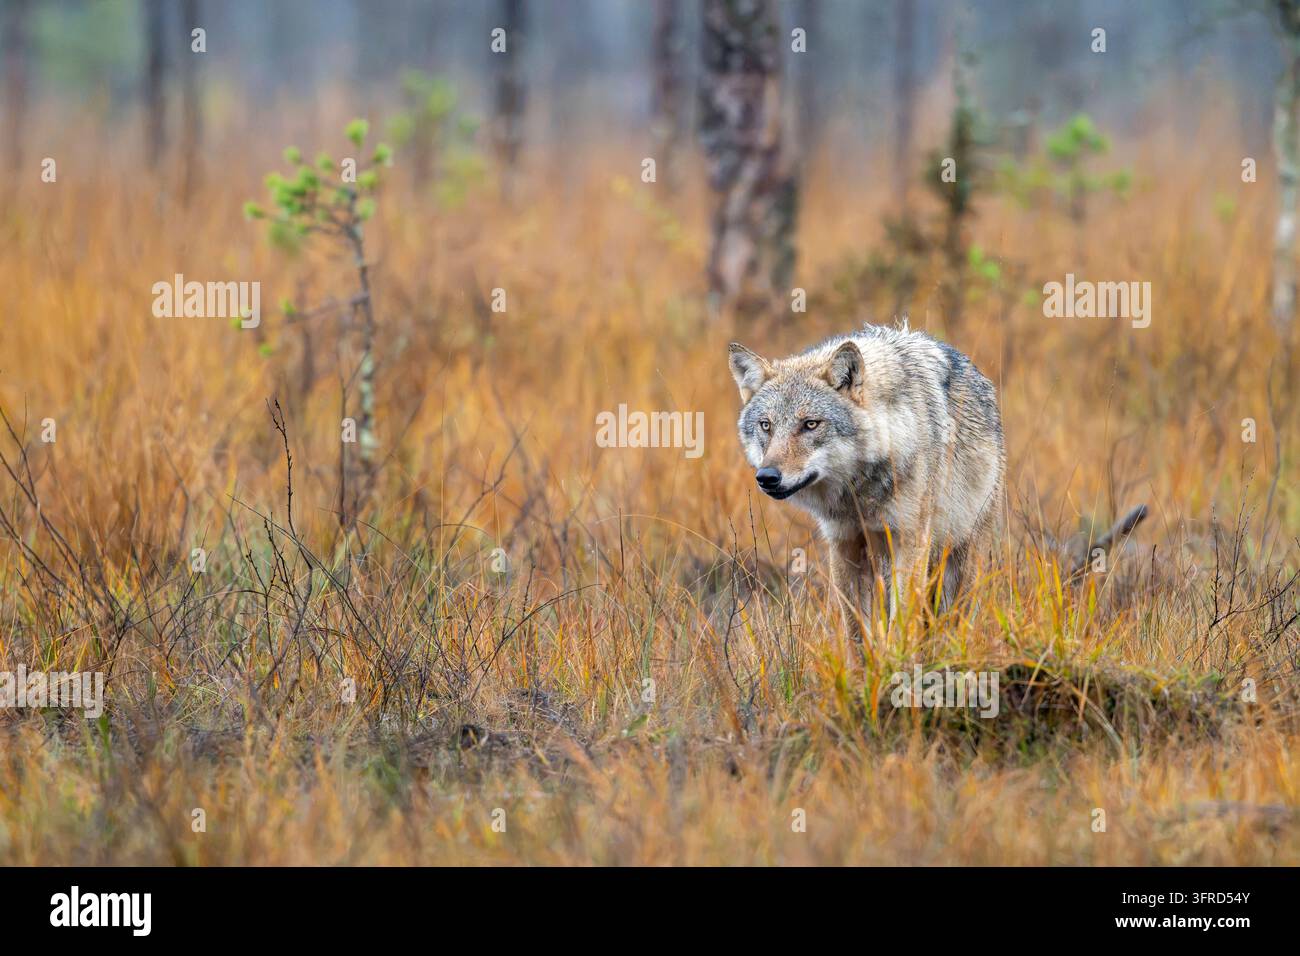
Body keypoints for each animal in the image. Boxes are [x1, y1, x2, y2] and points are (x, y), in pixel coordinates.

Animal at [728, 324, 1005, 625]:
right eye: (766, 425)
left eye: (810, 424)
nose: (767, 477)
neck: (859, 494)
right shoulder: (843, 544)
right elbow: (855, 629)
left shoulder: (910, 543)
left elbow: (900, 623)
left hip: (961, 559)